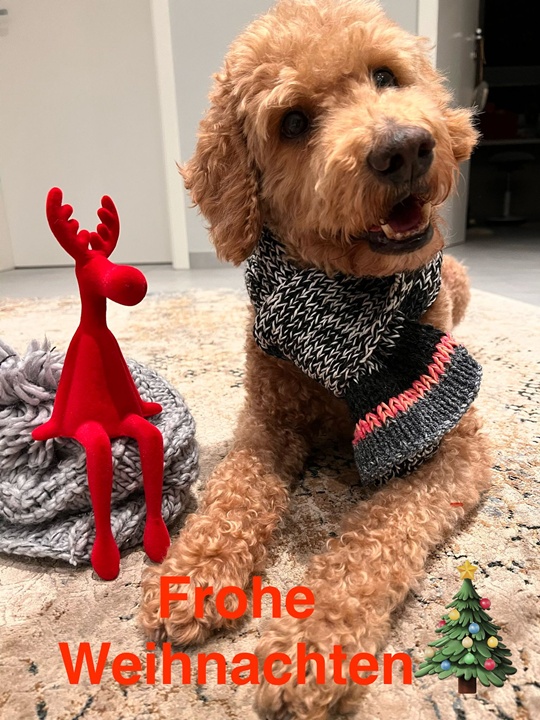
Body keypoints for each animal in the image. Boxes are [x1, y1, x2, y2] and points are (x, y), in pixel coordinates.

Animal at [140, 1, 491, 717]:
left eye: (385, 76)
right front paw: (192, 576)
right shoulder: (265, 423)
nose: (405, 147)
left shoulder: (454, 447)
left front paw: (309, 648)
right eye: (294, 122)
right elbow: (233, 495)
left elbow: (374, 536)